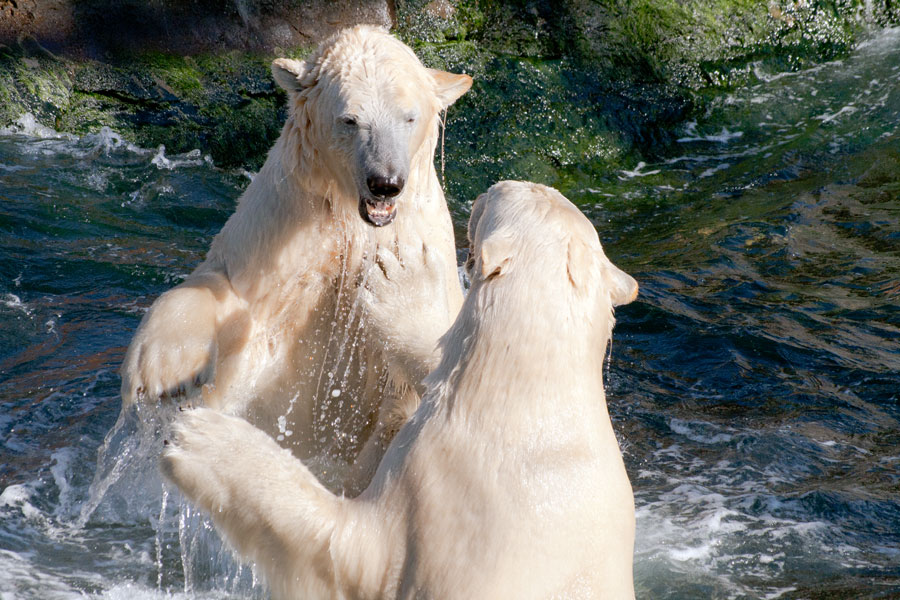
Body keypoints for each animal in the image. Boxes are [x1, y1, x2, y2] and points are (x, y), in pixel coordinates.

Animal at [123, 25, 474, 492]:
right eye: (350, 120)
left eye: (409, 117)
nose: (384, 183)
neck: (353, 223)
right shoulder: (282, 226)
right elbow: (227, 288)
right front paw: (166, 369)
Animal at [162, 182, 640, 600]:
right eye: (535, 188)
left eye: (502, 198)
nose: (492, 186)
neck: (524, 400)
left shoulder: (444, 501)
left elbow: (344, 551)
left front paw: (200, 440)